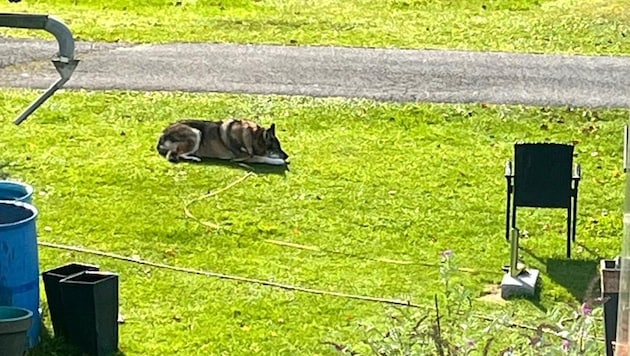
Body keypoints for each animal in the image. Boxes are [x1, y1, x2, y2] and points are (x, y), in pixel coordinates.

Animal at [157, 118, 290, 165]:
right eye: (276, 148)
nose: (287, 156)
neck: (252, 136)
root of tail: (162, 136)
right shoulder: (244, 157)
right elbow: (263, 158)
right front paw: (279, 161)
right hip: (195, 133)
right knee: (174, 154)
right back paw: (194, 158)